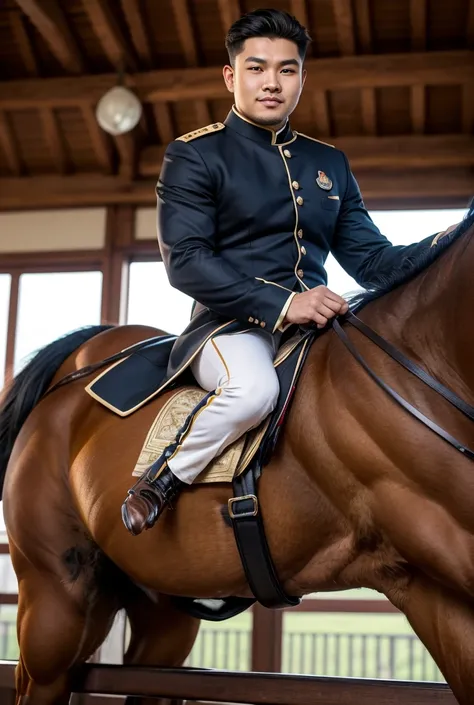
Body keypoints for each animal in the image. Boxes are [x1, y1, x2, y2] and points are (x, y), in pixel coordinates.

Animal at [0, 209, 474, 704]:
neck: (421, 369)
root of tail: (74, 373)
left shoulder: (431, 587)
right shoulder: (438, 559)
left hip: (161, 610)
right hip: (57, 607)